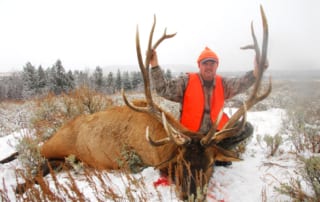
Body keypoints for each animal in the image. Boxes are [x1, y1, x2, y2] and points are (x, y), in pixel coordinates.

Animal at [2, 5, 270, 201]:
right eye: (181, 161)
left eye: (211, 163)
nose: (191, 195)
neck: (160, 147)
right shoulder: (137, 162)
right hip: (57, 145)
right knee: (36, 163)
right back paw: (20, 184)